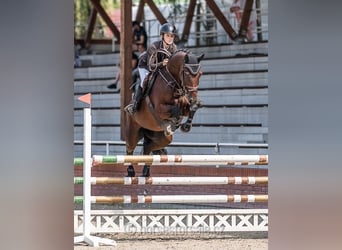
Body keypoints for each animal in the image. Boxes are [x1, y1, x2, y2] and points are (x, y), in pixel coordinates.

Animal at [124, 48, 204, 177]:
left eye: (200, 74)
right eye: (186, 73)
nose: (193, 98)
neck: (173, 83)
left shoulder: (185, 106)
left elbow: (191, 108)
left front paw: (185, 126)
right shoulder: (159, 109)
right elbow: (175, 109)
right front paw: (174, 123)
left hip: (162, 138)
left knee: (148, 147)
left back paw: (146, 172)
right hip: (133, 132)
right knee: (129, 149)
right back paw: (130, 171)